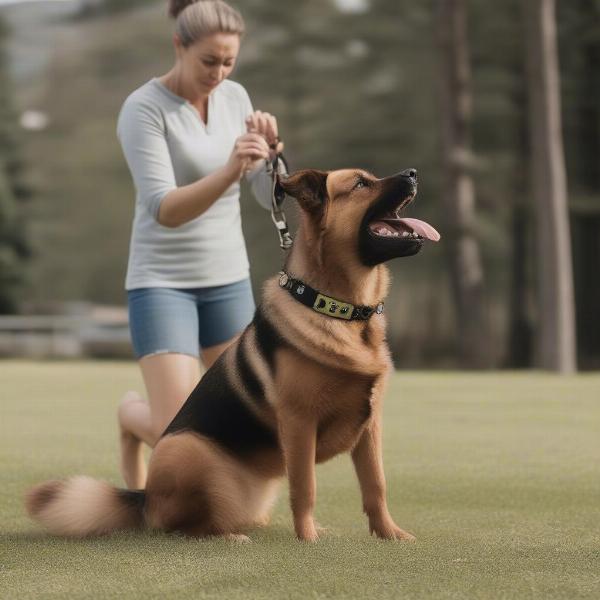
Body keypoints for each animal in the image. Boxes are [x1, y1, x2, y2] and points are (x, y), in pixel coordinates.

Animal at [25, 166, 438, 540]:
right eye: (360, 184)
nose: (414, 173)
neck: (337, 310)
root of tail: (145, 498)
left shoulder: (371, 426)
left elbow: (376, 486)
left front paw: (389, 534)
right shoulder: (299, 423)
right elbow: (306, 487)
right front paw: (308, 540)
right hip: (187, 450)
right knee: (188, 526)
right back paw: (227, 536)